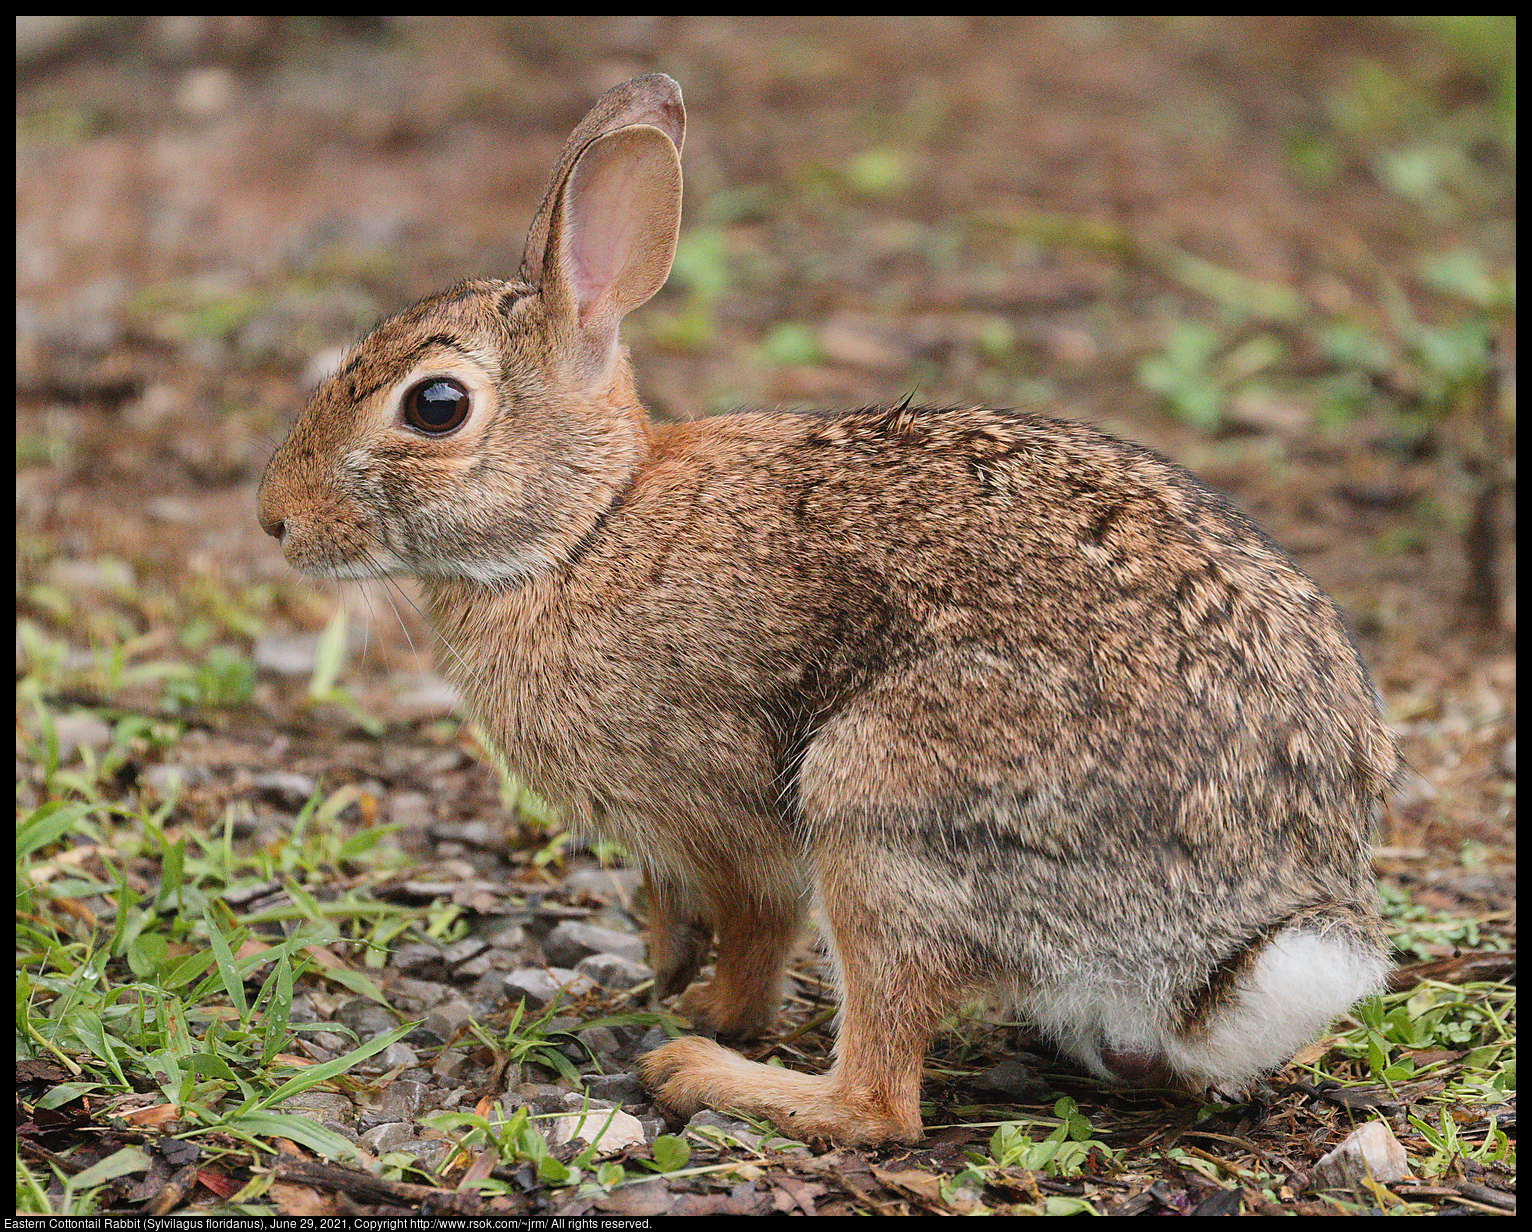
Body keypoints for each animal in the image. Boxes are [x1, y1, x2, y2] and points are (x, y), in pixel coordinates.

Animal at [260, 74, 1403, 1146]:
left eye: (435, 405)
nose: (274, 519)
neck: (585, 527)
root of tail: (1218, 957)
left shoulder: (730, 816)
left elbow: (758, 928)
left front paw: (706, 1013)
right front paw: (660, 971)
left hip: (882, 805)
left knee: (878, 1100)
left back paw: (703, 1074)